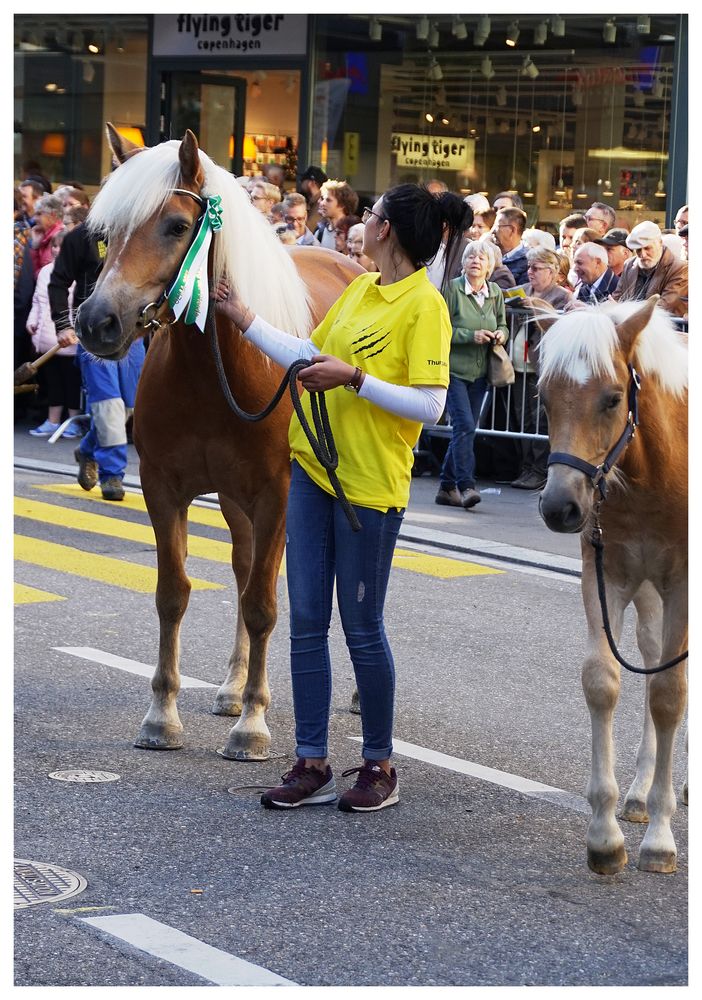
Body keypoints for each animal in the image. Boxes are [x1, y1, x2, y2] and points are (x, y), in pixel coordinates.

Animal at [75, 129, 364, 760]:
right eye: (106, 234)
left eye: (177, 226)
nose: (97, 322)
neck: (216, 370)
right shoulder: (163, 488)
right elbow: (174, 593)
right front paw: (163, 715)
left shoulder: (278, 494)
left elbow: (262, 605)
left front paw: (252, 724)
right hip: (234, 499)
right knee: (242, 564)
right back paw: (231, 687)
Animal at [540, 292, 688, 872]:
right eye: (543, 398)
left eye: (612, 398)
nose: (559, 506)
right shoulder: (608, 577)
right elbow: (604, 681)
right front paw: (605, 834)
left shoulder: (682, 586)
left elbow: (670, 694)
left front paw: (662, 840)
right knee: (648, 658)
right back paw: (640, 794)